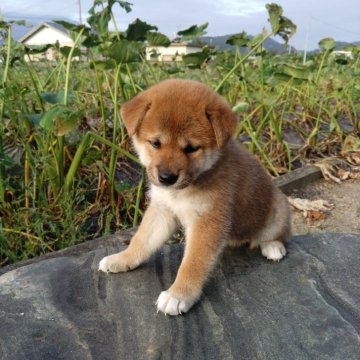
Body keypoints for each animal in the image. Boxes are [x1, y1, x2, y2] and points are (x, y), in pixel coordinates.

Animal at [97, 79, 290, 316]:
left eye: (191, 148)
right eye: (156, 143)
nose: (166, 177)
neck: (184, 189)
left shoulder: (208, 221)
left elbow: (192, 263)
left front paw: (178, 295)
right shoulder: (162, 210)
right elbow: (142, 240)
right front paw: (123, 258)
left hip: (279, 209)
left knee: (279, 234)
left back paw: (273, 247)